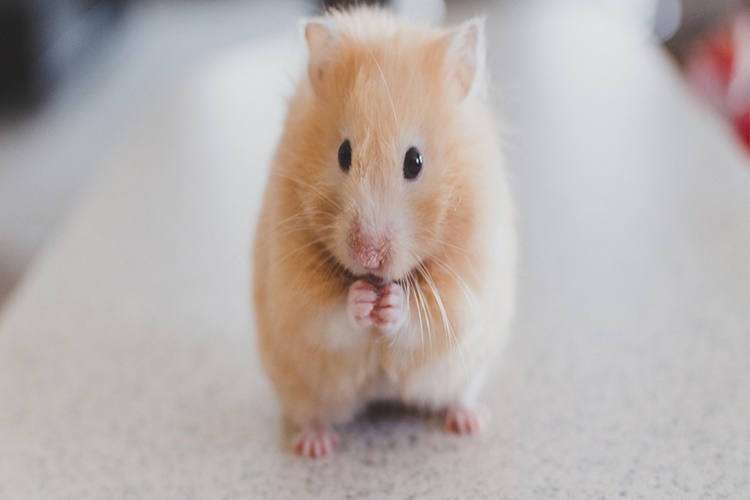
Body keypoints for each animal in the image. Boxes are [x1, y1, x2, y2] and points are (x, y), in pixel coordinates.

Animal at [253, 6, 516, 458]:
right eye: (343, 153)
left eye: (415, 161)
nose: (368, 255)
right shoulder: (294, 291)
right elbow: (327, 315)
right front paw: (362, 300)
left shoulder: (466, 287)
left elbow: (426, 317)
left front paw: (390, 303)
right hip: (296, 386)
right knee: (312, 413)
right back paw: (315, 446)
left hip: (470, 369)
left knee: (458, 395)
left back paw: (470, 421)